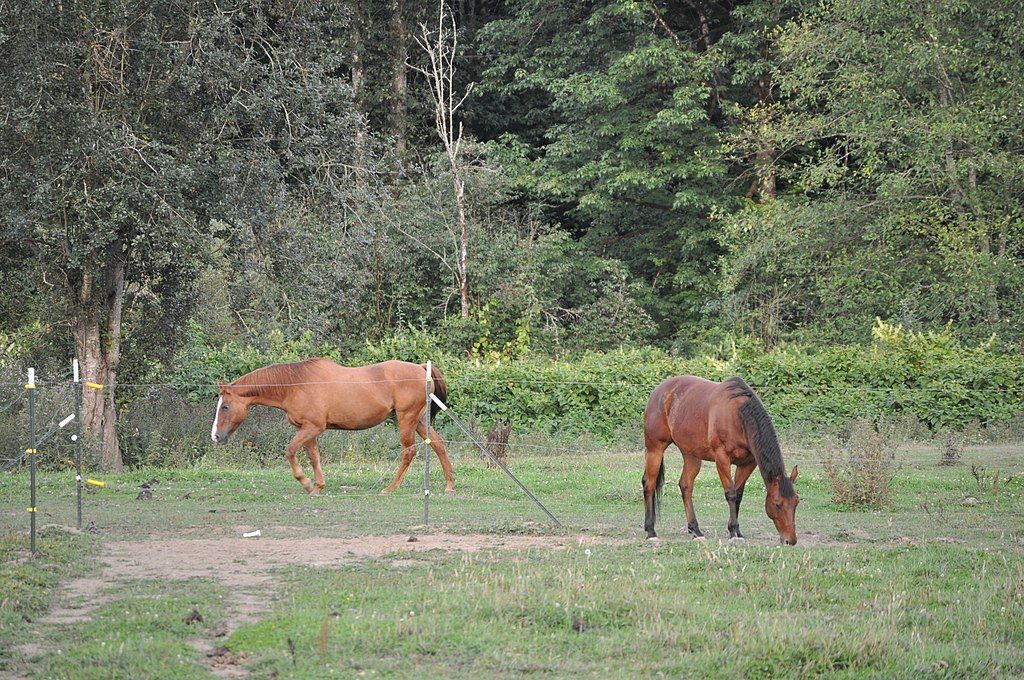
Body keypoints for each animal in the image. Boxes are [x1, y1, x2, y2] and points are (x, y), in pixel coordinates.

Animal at [210, 358, 454, 495]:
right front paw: (317, 486)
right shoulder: (308, 430)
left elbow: (290, 451)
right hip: (419, 421)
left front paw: (307, 483)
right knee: (439, 445)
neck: (295, 385)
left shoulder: (312, 428)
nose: (216, 436)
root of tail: (421, 369)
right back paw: (449, 485)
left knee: (409, 452)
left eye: (225, 406)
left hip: (406, 419)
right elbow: (314, 458)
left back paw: (390, 488)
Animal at [642, 375, 799, 544]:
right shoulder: (722, 458)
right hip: (655, 449)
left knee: (686, 486)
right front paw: (732, 531)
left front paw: (738, 532)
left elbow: (738, 495)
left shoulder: (748, 463)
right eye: (777, 504)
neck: (738, 416)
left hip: (691, 455)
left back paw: (695, 530)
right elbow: (731, 493)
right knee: (649, 484)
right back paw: (651, 531)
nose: (791, 540)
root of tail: (658, 391)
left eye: (796, 502)